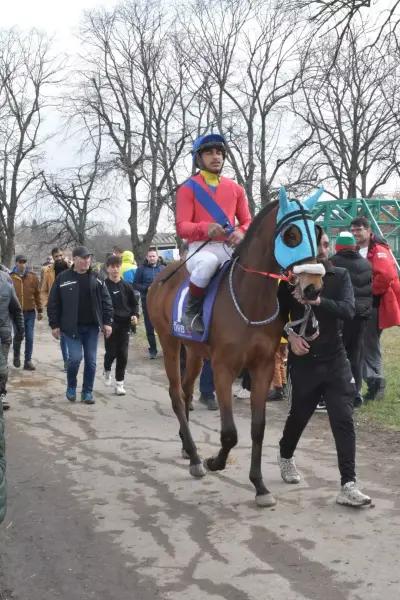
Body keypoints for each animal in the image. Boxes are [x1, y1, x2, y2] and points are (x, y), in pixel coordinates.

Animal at [147, 188, 324, 506]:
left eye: (317, 232)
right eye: (291, 235)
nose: (313, 287)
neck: (249, 300)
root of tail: (160, 277)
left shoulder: (262, 367)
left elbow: (258, 428)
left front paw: (260, 486)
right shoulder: (223, 368)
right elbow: (230, 433)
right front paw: (214, 461)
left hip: (194, 352)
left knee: (187, 391)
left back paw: (186, 447)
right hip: (169, 343)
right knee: (176, 395)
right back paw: (196, 458)